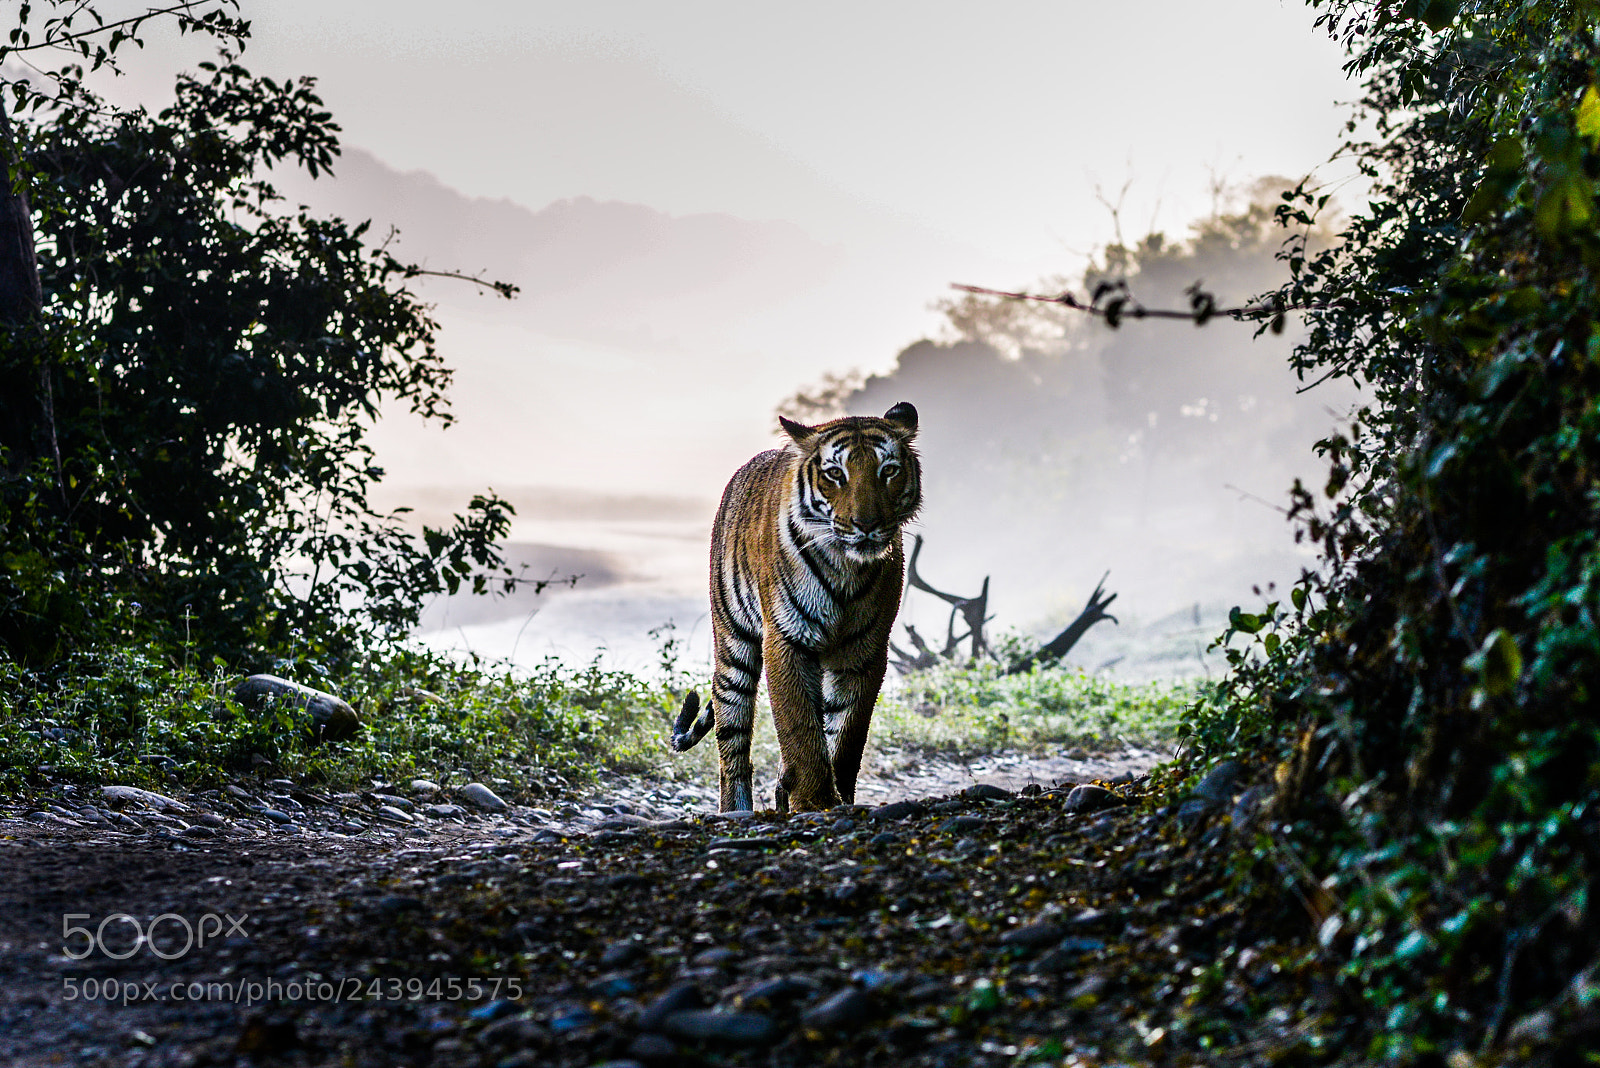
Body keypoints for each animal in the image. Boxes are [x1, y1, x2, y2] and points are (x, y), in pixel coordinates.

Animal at [671, 401, 922, 813]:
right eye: (835, 473)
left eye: (888, 471)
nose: (866, 524)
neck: (846, 566)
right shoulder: (787, 639)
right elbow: (800, 726)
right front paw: (816, 800)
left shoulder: (865, 651)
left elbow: (846, 734)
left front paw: (837, 798)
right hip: (733, 646)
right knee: (732, 744)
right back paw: (736, 810)